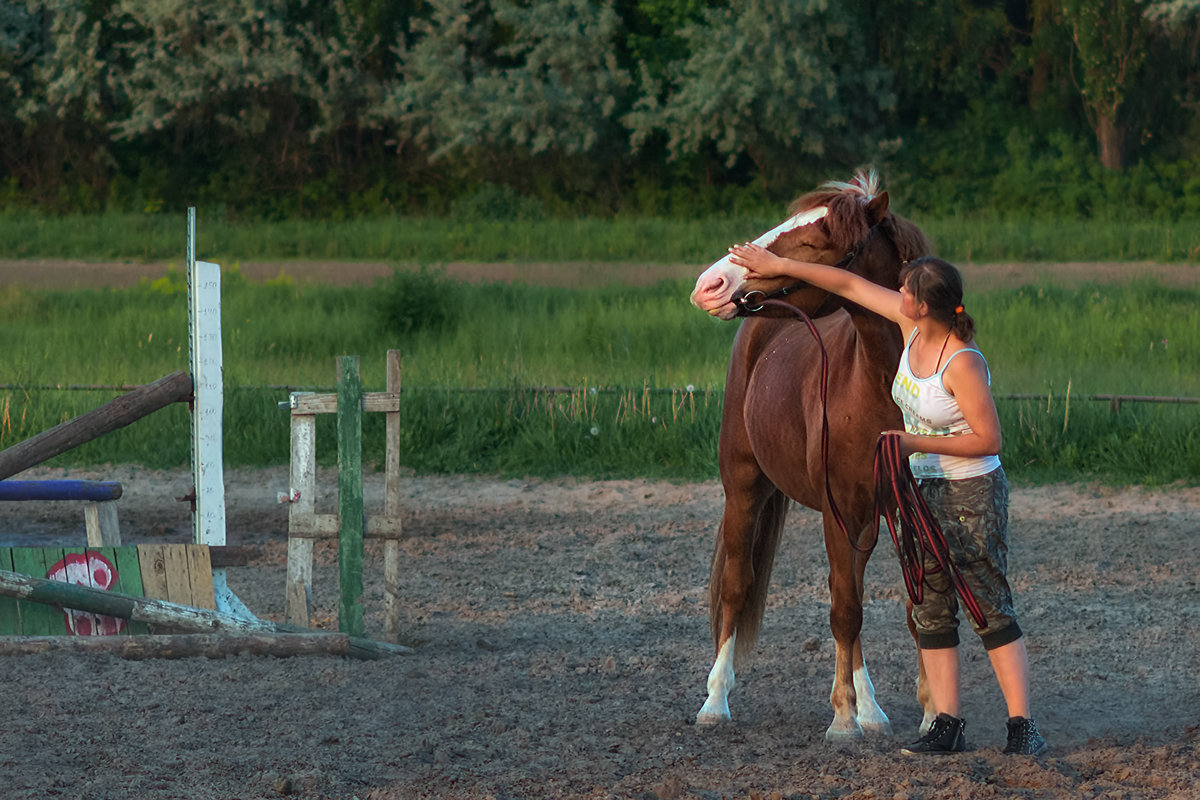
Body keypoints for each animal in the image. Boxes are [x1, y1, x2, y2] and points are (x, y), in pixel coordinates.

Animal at [691, 172, 931, 743]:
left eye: (816, 241)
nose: (712, 283)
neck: (880, 389)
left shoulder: (907, 507)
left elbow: (914, 610)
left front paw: (932, 712)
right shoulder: (838, 510)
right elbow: (844, 610)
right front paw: (843, 719)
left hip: (866, 520)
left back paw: (872, 711)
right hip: (744, 488)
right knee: (737, 586)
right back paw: (715, 702)